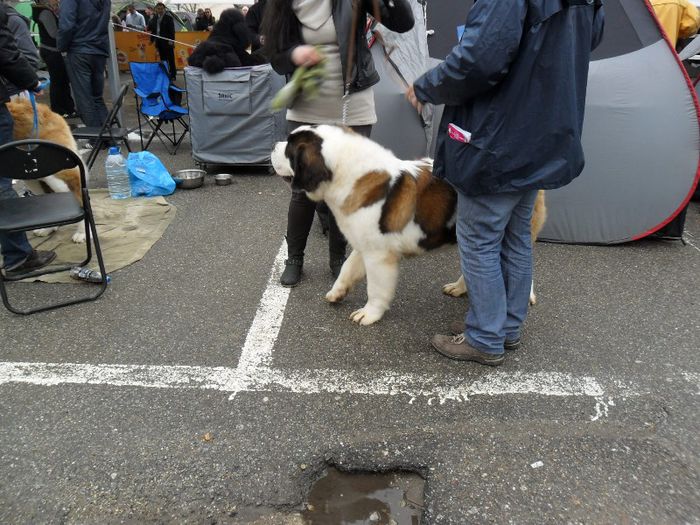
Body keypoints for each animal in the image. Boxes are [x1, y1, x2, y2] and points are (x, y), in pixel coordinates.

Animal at [272, 125, 548, 326]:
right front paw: (337, 292)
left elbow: (376, 287)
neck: (347, 174)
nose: (274, 146)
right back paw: (459, 288)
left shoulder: (379, 256)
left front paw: (369, 314)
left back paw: (525, 297)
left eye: (289, 149)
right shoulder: (365, 245)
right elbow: (347, 268)